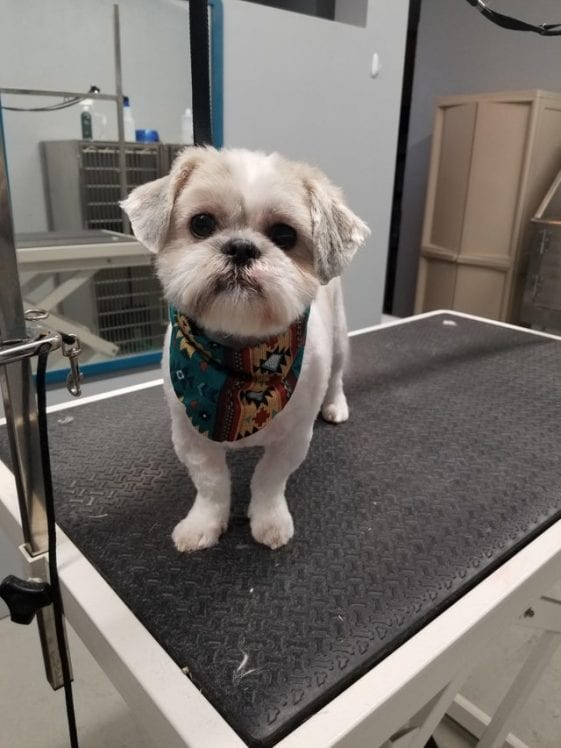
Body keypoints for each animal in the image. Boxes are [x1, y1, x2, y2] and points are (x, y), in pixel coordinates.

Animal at [121, 149, 368, 552]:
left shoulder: (293, 438)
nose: (240, 247)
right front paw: (203, 524)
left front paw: (269, 521)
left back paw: (336, 404)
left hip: (339, 338)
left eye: (284, 235)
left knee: (337, 377)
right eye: (201, 223)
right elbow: (212, 484)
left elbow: (269, 480)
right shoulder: (191, 436)